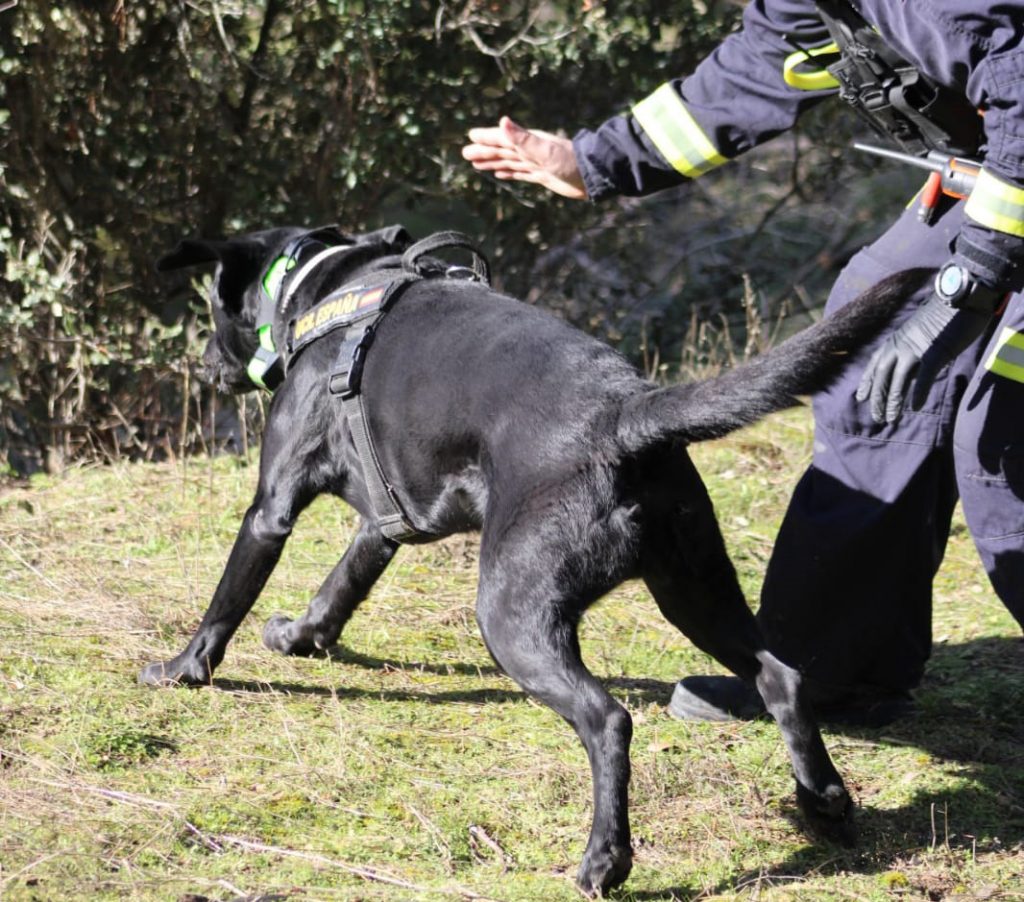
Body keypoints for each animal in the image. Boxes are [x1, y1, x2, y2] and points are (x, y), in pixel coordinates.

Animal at [146, 223, 921, 892]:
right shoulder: (383, 521)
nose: (206, 365)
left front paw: (181, 669)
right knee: (780, 678)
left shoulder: (272, 507)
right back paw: (824, 805)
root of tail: (625, 412)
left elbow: (225, 602)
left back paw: (605, 861)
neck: (326, 285)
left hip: (511, 612)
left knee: (608, 720)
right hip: (694, 587)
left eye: (211, 307)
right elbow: (341, 584)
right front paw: (300, 637)